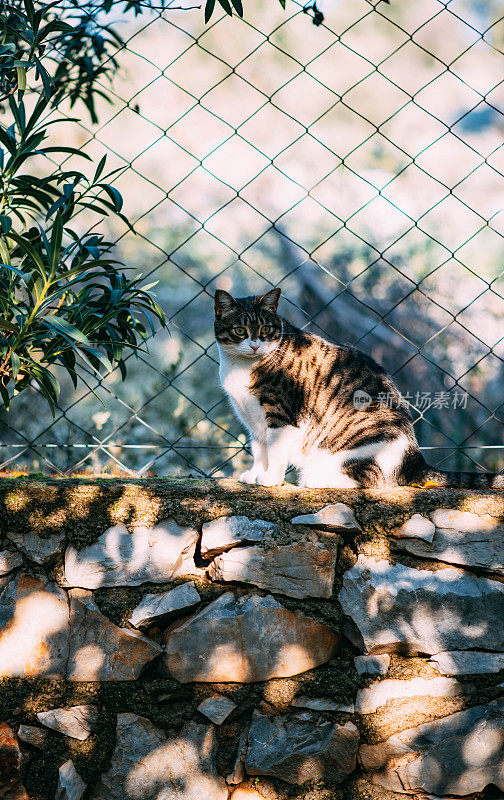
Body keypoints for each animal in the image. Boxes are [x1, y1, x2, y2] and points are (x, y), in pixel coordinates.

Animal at [214, 288, 504, 488]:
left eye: (265, 329)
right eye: (240, 330)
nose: (255, 345)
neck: (240, 367)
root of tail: (414, 459)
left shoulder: (280, 414)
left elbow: (274, 450)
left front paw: (270, 479)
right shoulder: (253, 420)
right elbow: (259, 449)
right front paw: (255, 474)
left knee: (373, 480)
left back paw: (314, 479)